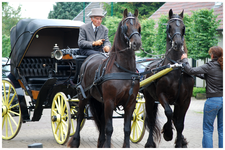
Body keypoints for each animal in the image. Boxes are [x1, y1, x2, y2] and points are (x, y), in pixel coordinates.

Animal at [67, 8, 142, 148]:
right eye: (126, 26)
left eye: (139, 26)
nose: (137, 43)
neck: (123, 69)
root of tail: (88, 60)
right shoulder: (109, 101)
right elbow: (109, 128)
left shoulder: (130, 102)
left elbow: (127, 129)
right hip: (83, 97)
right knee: (80, 116)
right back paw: (75, 141)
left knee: (100, 119)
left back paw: (100, 141)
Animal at [143, 9, 194, 148]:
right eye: (169, 26)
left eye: (183, 27)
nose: (178, 43)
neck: (175, 67)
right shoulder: (161, 95)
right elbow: (169, 112)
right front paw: (168, 132)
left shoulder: (185, 100)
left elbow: (180, 123)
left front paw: (180, 142)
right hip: (149, 99)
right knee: (151, 120)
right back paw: (150, 143)